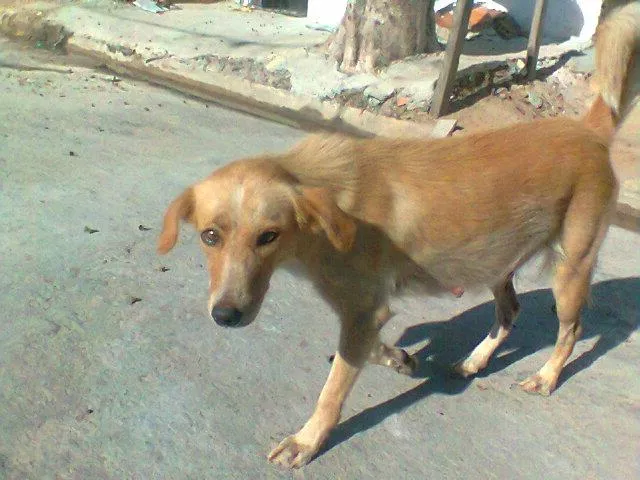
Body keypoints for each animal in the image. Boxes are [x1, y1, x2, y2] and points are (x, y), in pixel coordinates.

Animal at [158, 3, 636, 468]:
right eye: (210, 236)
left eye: (268, 236)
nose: (225, 316)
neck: (327, 208)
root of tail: (586, 128)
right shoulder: (364, 312)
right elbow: (364, 351)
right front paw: (400, 358)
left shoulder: (364, 309)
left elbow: (333, 389)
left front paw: (307, 440)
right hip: (496, 261)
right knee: (510, 312)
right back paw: (476, 360)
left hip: (571, 268)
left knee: (571, 329)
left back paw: (546, 376)